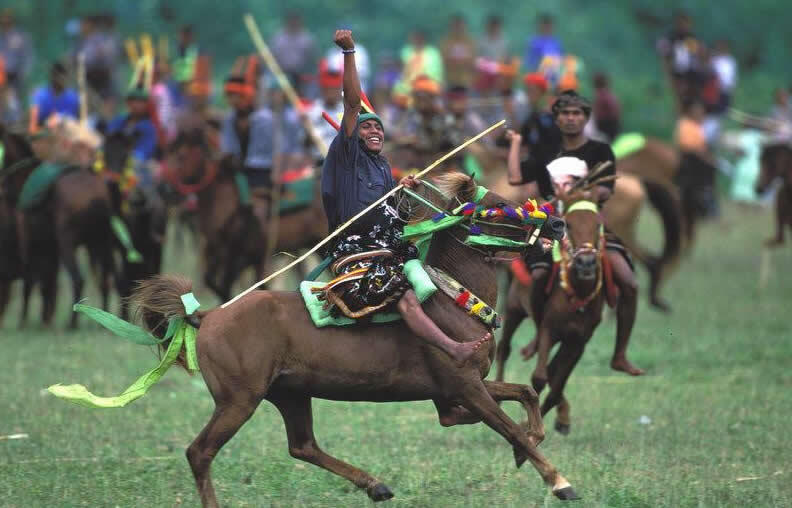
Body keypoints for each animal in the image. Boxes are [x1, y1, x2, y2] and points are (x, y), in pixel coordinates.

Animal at [128, 174, 576, 504]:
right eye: (498, 206)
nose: (557, 223)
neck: (453, 301)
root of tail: (208, 315)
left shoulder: (455, 395)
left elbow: (524, 397)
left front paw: (528, 446)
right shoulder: (465, 386)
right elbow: (509, 426)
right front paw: (558, 480)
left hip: (289, 392)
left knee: (302, 446)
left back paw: (375, 485)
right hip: (239, 400)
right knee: (200, 452)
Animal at [496, 193, 612, 432]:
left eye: (598, 225)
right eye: (571, 224)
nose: (586, 262)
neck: (576, 299)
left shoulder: (578, 341)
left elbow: (556, 385)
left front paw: (532, 422)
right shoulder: (548, 330)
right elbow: (540, 377)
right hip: (514, 309)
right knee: (504, 349)